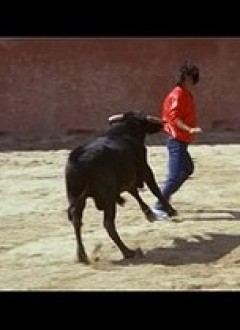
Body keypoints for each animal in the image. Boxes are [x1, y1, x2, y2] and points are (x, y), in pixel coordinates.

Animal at [64, 111, 177, 262]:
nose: (162, 124)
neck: (123, 132)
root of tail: (80, 159)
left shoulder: (127, 177)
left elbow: (134, 191)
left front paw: (149, 213)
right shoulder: (144, 168)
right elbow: (154, 189)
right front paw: (171, 210)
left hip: (74, 195)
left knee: (76, 220)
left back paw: (81, 255)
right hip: (107, 196)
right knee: (108, 223)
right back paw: (128, 252)